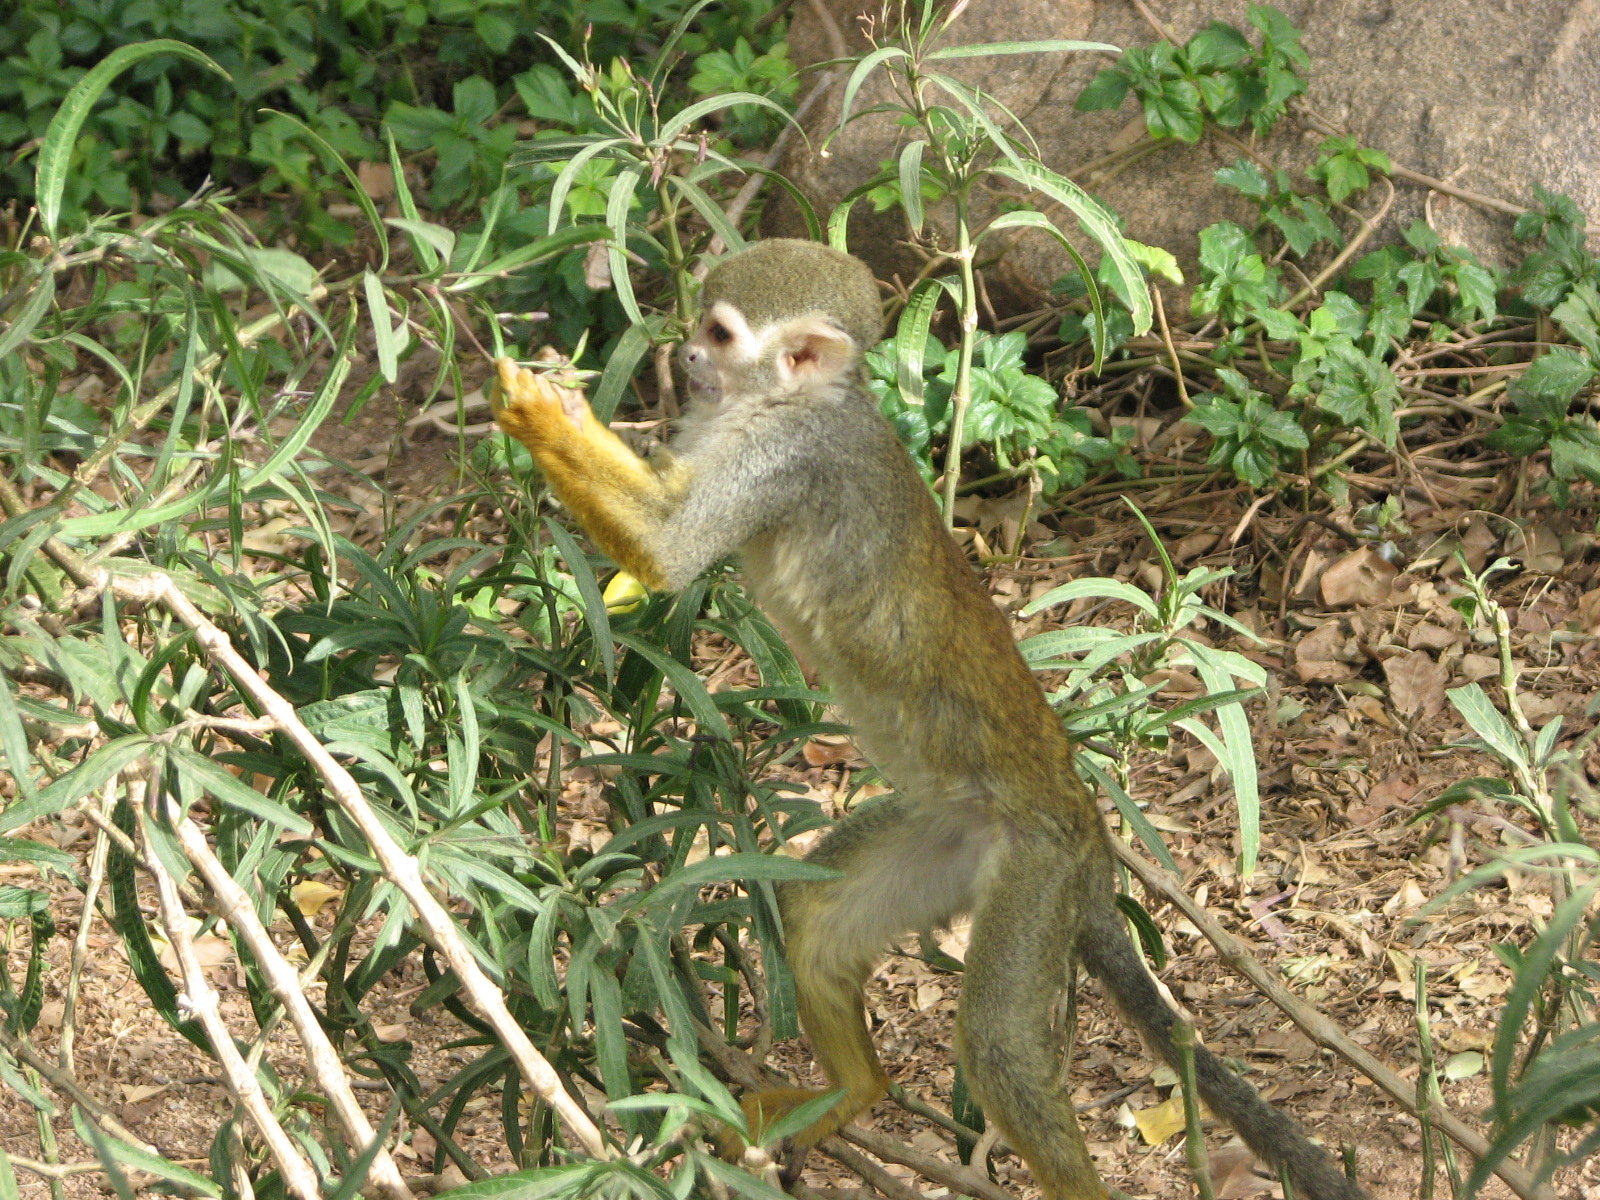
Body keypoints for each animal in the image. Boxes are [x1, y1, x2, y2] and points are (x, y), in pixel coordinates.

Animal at [491, 238, 1367, 1200]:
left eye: (719, 335)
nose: (683, 357)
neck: (796, 403)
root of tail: (1090, 833)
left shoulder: (782, 454)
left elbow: (668, 554)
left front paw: (534, 407)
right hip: (947, 843)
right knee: (817, 914)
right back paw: (853, 1092)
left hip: (1036, 878)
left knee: (998, 1049)